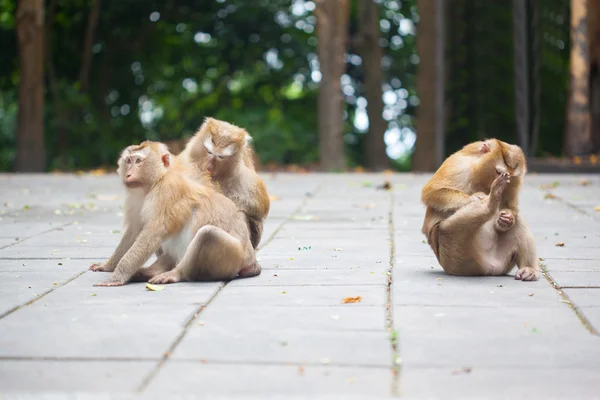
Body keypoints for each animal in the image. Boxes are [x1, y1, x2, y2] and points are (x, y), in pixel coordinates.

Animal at [89, 141, 260, 284]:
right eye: (128, 161)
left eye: (138, 161)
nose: (128, 174)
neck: (157, 180)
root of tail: (252, 260)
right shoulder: (137, 198)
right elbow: (135, 231)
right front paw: (108, 265)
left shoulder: (167, 191)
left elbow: (153, 232)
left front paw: (117, 277)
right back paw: (151, 271)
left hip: (233, 258)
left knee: (208, 234)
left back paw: (176, 274)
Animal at [178, 117, 270, 248]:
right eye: (209, 151)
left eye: (221, 157)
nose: (209, 166)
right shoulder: (186, 163)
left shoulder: (244, 176)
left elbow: (260, 209)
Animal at [420, 140, 540, 282]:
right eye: (498, 172)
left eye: (510, 177)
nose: (503, 182)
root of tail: (491, 268)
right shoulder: (458, 164)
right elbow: (431, 192)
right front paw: (474, 198)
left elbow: (511, 207)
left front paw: (506, 220)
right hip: (457, 258)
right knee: (447, 229)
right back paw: (490, 203)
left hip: (502, 260)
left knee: (518, 221)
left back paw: (528, 269)